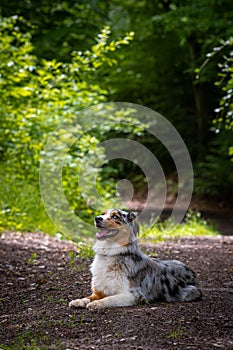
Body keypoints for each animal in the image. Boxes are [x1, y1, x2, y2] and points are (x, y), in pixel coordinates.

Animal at [69, 208, 202, 308]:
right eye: (103, 214)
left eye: (115, 217)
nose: (97, 218)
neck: (109, 254)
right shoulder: (98, 291)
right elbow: (88, 297)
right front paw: (79, 301)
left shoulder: (133, 295)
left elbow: (110, 298)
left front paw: (97, 303)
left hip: (190, 291)